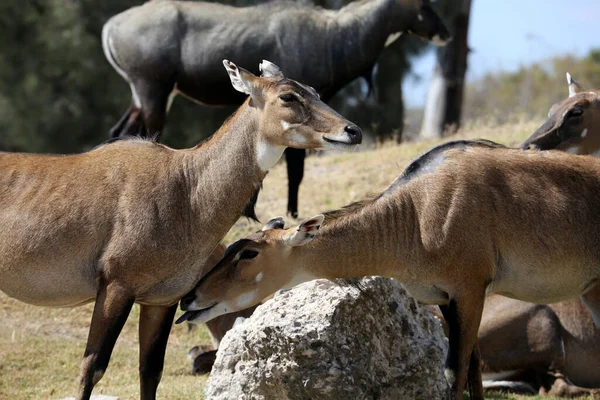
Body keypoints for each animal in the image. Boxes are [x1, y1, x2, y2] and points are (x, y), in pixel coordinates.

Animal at [0, 59, 360, 400]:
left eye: (314, 90)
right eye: (287, 96)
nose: (353, 130)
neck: (186, 187)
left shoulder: (163, 298)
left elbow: (150, 370)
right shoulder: (116, 285)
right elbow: (93, 367)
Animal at [102, 0, 450, 219]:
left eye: (314, 92)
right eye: (422, 4)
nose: (446, 33)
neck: (335, 36)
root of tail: (111, 26)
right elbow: (295, 170)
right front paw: (290, 214)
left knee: (119, 132)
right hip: (153, 90)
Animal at [177, 139, 600, 398]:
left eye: (248, 253)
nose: (189, 299)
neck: (417, 213)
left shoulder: (469, 289)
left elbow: (456, 371)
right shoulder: (449, 298)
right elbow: (474, 370)